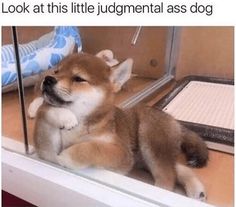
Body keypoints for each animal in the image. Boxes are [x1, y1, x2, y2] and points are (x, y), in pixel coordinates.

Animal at [31, 50, 208, 201]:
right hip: (145, 159)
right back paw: (196, 189)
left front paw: (69, 156)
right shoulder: (46, 150)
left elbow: (91, 147)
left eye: (79, 78)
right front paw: (65, 117)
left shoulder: (121, 153)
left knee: (168, 178)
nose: (48, 79)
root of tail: (175, 121)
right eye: (56, 72)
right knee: (178, 169)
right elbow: (45, 108)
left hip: (150, 140)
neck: (81, 125)